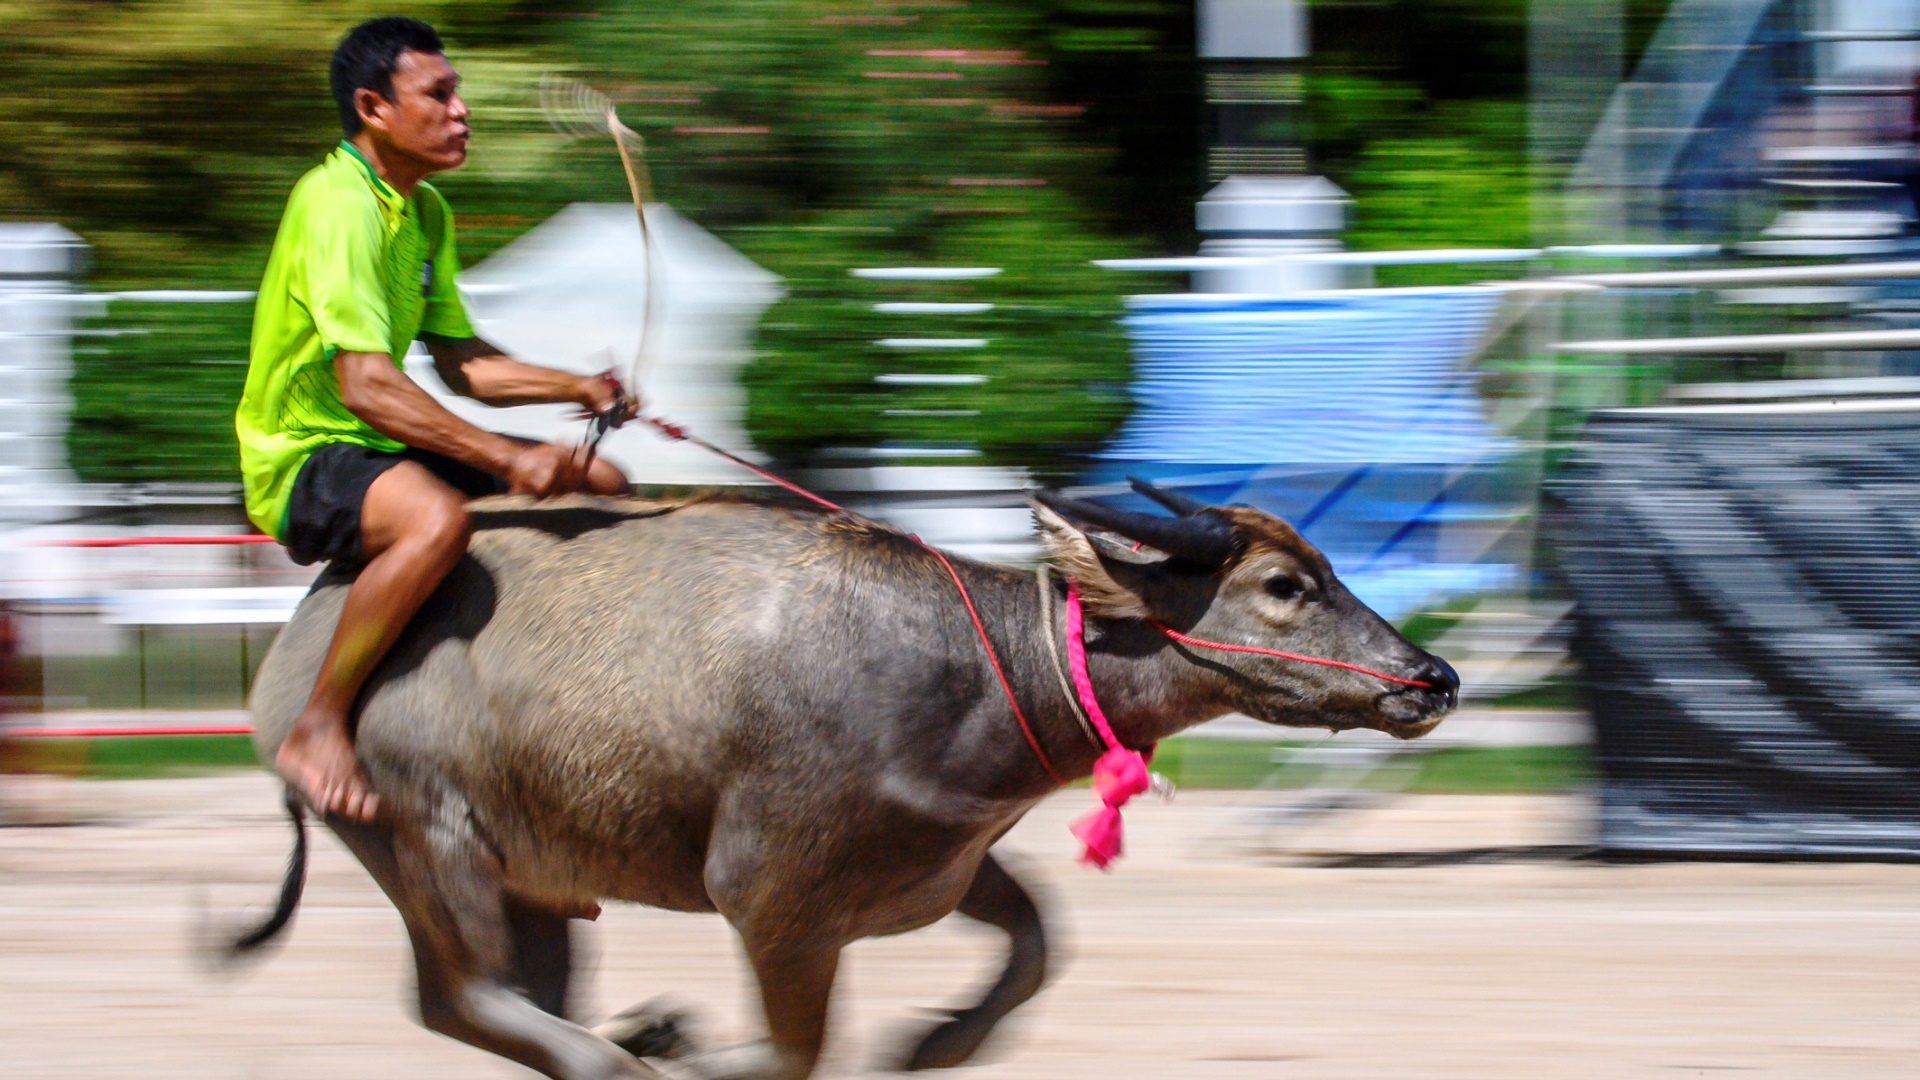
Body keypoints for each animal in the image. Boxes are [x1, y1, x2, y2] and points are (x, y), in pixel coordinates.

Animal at [228, 480, 1451, 1076]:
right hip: (431, 840)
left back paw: (627, 1038)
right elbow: (790, 1051)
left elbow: (1039, 945)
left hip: (533, 878)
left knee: (482, 1003)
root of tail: (302, 651)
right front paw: (688, 1053)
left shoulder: (946, 866)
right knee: (472, 995)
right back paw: (620, 1060)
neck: (972, 673)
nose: (1430, 678)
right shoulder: (775, 905)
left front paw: (937, 1043)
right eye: (1287, 585)